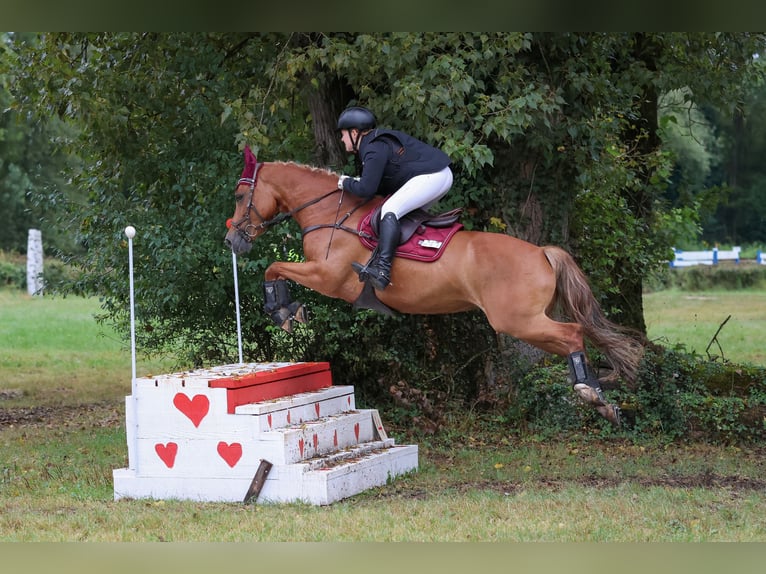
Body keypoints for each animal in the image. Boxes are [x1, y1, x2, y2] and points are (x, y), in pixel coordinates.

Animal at [224, 147, 644, 426]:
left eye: (241, 196)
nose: (232, 240)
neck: (330, 212)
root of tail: (542, 251)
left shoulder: (327, 276)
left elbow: (273, 268)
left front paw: (283, 311)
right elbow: (276, 269)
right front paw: (287, 310)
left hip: (517, 321)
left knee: (573, 333)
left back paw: (591, 393)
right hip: (525, 322)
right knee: (574, 338)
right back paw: (600, 397)